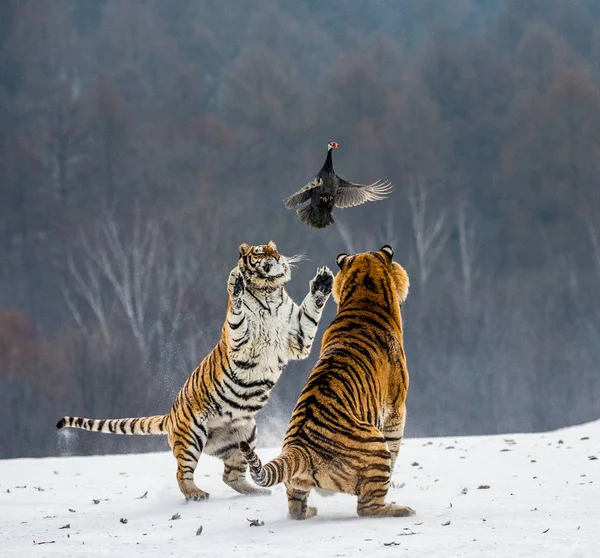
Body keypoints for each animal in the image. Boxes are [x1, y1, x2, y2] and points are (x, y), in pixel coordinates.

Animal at [56, 241, 336, 504]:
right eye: (261, 251)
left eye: (274, 249)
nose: (277, 257)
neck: (269, 291)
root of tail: (171, 416)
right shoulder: (239, 339)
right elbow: (237, 312)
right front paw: (236, 284)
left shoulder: (297, 338)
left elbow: (310, 313)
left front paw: (322, 283)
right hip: (192, 436)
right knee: (183, 473)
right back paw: (196, 494)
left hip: (245, 434)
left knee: (231, 475)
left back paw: (257, 491)